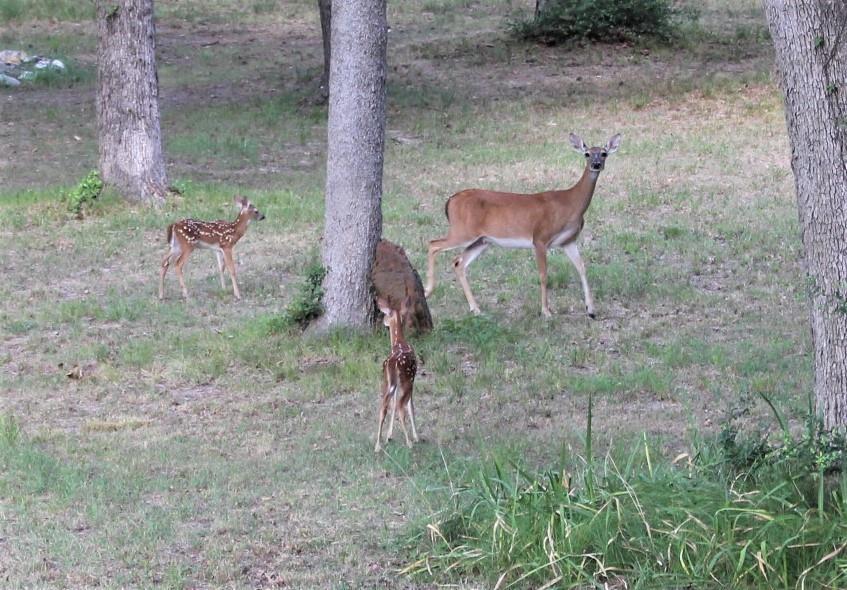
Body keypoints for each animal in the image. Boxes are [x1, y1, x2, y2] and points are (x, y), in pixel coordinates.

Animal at [376, 298, 420, 456]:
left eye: (386, 314)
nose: (383, 321)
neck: (399, 341)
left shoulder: (395, 384)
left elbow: (393, 403)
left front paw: (389, 435)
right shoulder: (412, 379)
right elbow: (410, 406)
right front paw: (416, 436)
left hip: (386, 381)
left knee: (383, 406)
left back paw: (377, 445)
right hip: (406, 380)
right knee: (401, 406)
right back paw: (410, 442)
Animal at [428, 132, 620, 322]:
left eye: (604, 153)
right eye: (587, 154)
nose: (596, 164)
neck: (570, 205)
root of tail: (450, 201)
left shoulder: (568, 241)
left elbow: (582, 268)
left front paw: (591, 310)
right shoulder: (540, 237)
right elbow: (543, 275)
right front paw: (546, 311)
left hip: (481, 240)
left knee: (458, 262)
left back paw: (475, 308)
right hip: (463, 231)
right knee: (433, 244)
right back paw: (429, 290)